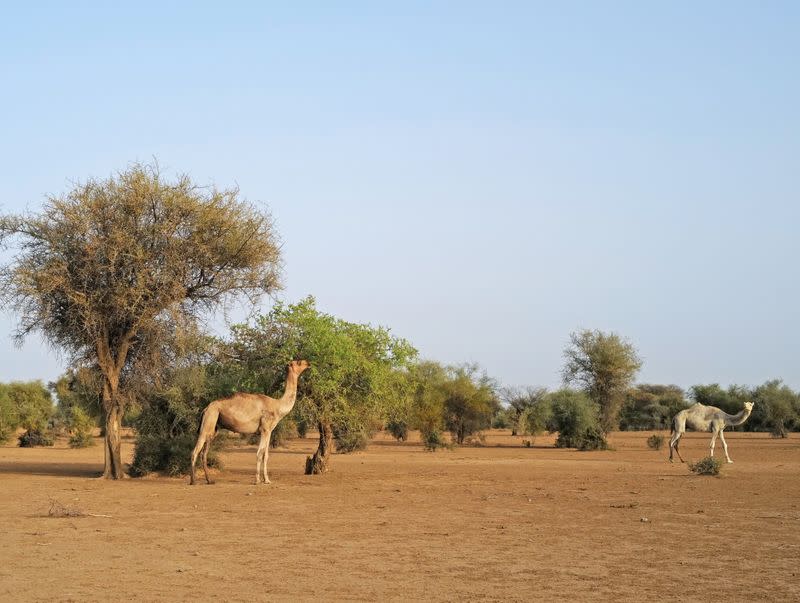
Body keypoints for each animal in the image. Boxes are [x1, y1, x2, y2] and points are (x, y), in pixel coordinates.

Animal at [190, 358, 310, 486]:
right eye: (298, 362)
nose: (308, 363)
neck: (278, 406)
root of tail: (206, 408)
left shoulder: (269, 431)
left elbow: (266, 455)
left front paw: (267, 480)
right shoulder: (265, 429)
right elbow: (259, 453)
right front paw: (257, 480)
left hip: (213, 427)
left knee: (204, 453)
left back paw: (209, 480)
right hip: (208, 421)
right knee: (195, 451)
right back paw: (193, 481)